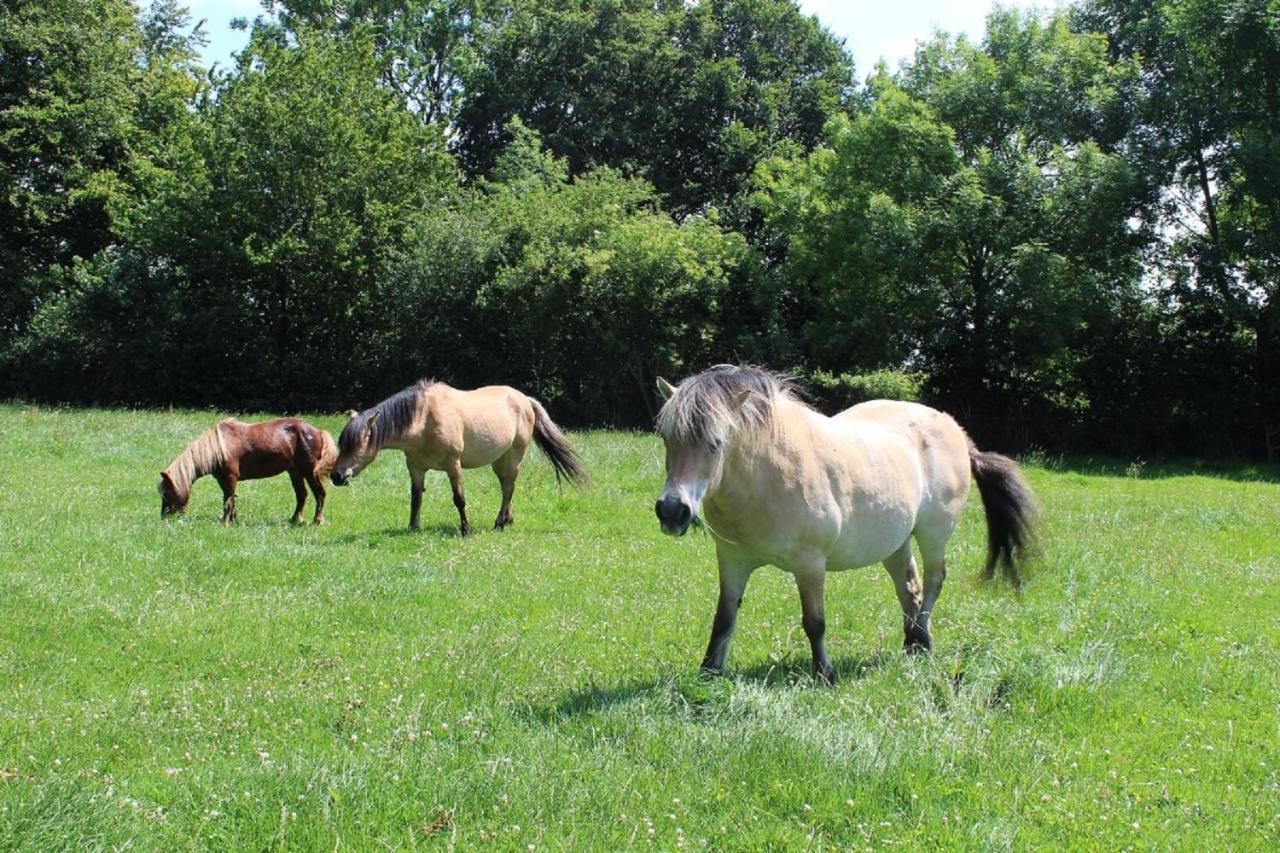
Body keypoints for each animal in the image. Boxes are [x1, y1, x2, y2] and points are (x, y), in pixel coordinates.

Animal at [156, 414, 337, 522]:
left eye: (166, 493)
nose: (163, 517)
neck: (220, 447)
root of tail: (318, 431)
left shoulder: (231, 477)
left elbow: (228, 500)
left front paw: (225, 523)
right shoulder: (222, 479)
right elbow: (230, 499)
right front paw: (232, 520)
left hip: (309, 471)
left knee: (320, 494)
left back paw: (317, 521)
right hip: (294, 472)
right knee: (302, 495)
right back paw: (294, 520)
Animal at [330, 379, 588, 532]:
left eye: (357, 444)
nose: (336, 476)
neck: (424, 420)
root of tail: (525, 399)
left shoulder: (453, 465)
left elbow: (459, 499)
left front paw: (466, 530)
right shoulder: (415, 468)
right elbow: (416, 499)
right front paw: (413, 528)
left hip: (514, 456)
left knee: (508, 488)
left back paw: (499, 523)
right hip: (499, 460)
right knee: (506, 485)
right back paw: (508, 519)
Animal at [655, 361, 1034, 681]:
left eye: (716, 443)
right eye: (667, 438)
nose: (672, 511)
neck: (766, 472)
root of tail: (954, 428)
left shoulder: (809, 564)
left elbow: (815, 622)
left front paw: (824, 673)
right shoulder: (733, 560)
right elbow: (724, 618)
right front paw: (709, 671)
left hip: (934, 534)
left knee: (933, 580)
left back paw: (922, 640)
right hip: (895, 541)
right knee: (908, 586)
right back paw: (913, 644)